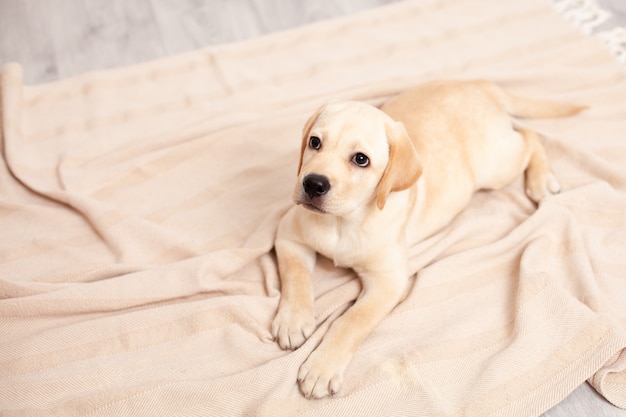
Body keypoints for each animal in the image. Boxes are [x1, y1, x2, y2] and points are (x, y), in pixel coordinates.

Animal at [270, 79, 584, 398]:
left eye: (361, 160)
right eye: (314, 142)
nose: (313, 184)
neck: (343, 222)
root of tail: (479, 84)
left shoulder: (388, 282)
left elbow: (351, 320)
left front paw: (323, 365)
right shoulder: (287, 235)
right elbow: (296, 276)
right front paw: (293, 320)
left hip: (496, 166)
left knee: (529, 136)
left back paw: (541, 178)